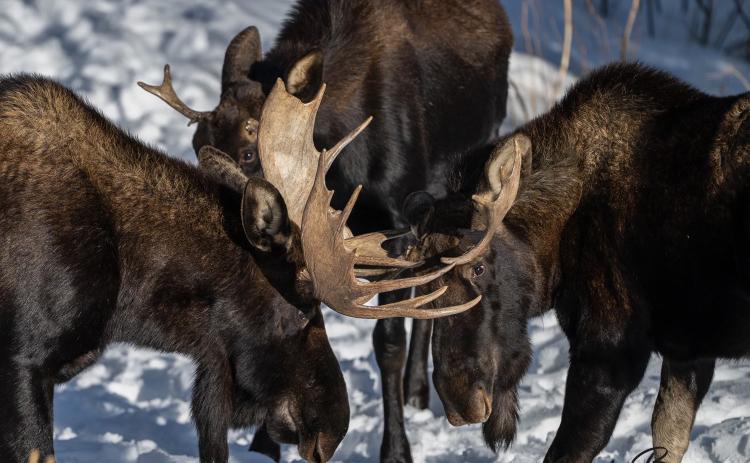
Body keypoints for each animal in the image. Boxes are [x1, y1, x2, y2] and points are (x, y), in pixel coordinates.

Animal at [137, 0, 513, 461]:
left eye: (249, 152)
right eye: (196, 144)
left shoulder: (394, 225)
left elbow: (388, 342)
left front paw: (396, 449)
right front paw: (265, 444)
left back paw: (418, 393)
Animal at [403, 62, 750, 463]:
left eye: (477, 267)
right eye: (422, 284)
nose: (460, 401)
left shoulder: (609, 351)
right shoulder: (687, 352)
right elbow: (669, 436)